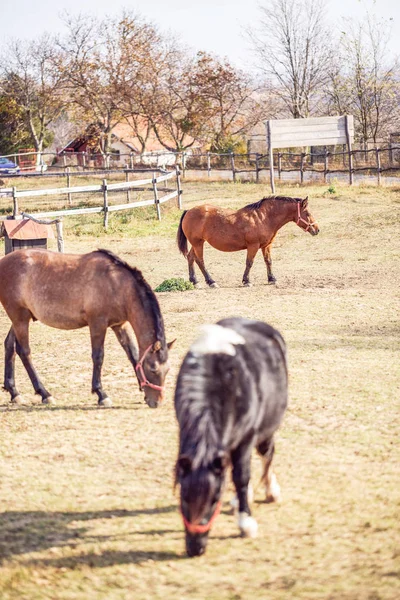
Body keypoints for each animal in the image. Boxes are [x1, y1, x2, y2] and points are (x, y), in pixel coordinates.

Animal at [0, 247, 175, 408]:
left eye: (167, 370)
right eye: (153, 369)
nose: (157, 402)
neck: (117, 284)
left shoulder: (119, 325)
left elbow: (133, 355)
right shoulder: (97, 324)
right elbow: (98, 357)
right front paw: (101, 394)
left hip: (21, 319)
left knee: (10, 346)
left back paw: (14, 392)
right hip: (20, 318)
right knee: (24, 352)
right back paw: (44, 394)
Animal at [174, 316, 288, 556]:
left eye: (215, 499)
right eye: (183, 496)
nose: (195, 547)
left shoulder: (246, 439)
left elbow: (241, 476)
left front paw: (246, 524)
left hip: (265, 429)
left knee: (266, 454)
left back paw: (270, 491)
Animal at [177, 196, 318, 288]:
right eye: (307, 213)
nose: (317, 229)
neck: (263, 218)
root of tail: (188, 211)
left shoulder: (266, 246)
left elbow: (268, 261)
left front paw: (272, 279)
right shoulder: (253, 246)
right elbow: (249, 263)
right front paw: (246, 281)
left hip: (196, 243)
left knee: (190, 257)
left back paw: (194, 281)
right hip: (198, 243)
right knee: (200, 261)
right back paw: (211, 281)